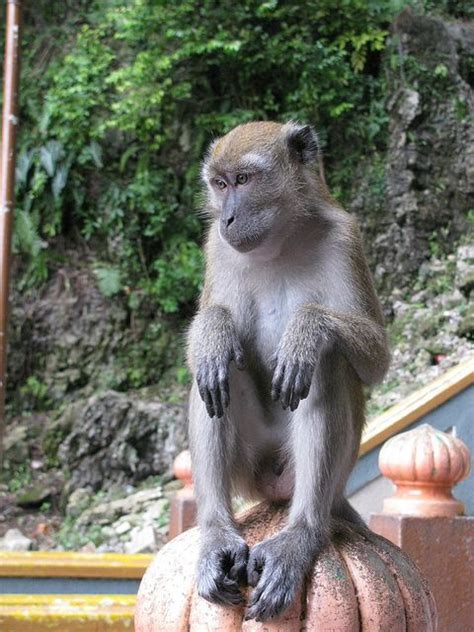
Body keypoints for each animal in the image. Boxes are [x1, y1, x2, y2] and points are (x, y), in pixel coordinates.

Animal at [185, 119, 388, 624]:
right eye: (219, 184)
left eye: (243, 180)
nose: (226, 218)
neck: (281, 240)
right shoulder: (216, 248)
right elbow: (205, 338)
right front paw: (214, 331)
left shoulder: (345, 238)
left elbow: (375, 358)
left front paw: (307, 330)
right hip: (250, 470)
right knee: (214, 375)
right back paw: (216, 533)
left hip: (320, 473)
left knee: (328, 365)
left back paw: (302, 534)